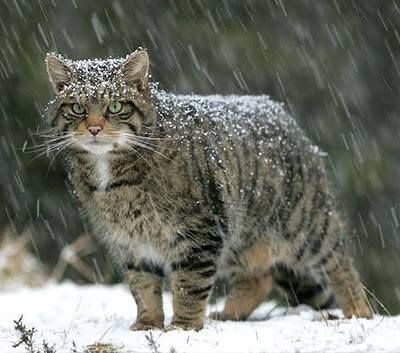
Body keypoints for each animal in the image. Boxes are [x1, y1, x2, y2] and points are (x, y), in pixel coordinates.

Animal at [44, 47, 372, 330]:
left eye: (115, 106)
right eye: (77, 107)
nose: (94, 128)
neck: (112, 177)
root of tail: (282, 113)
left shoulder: (198, 232)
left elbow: (188, 286)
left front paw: (183, 326)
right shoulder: (129, 242)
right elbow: (143, 286)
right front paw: (148, 323)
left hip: (305, 224)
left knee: (341, 265)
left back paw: (358, 311)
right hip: (240, 238)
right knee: (258, 279)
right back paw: (228, 315)